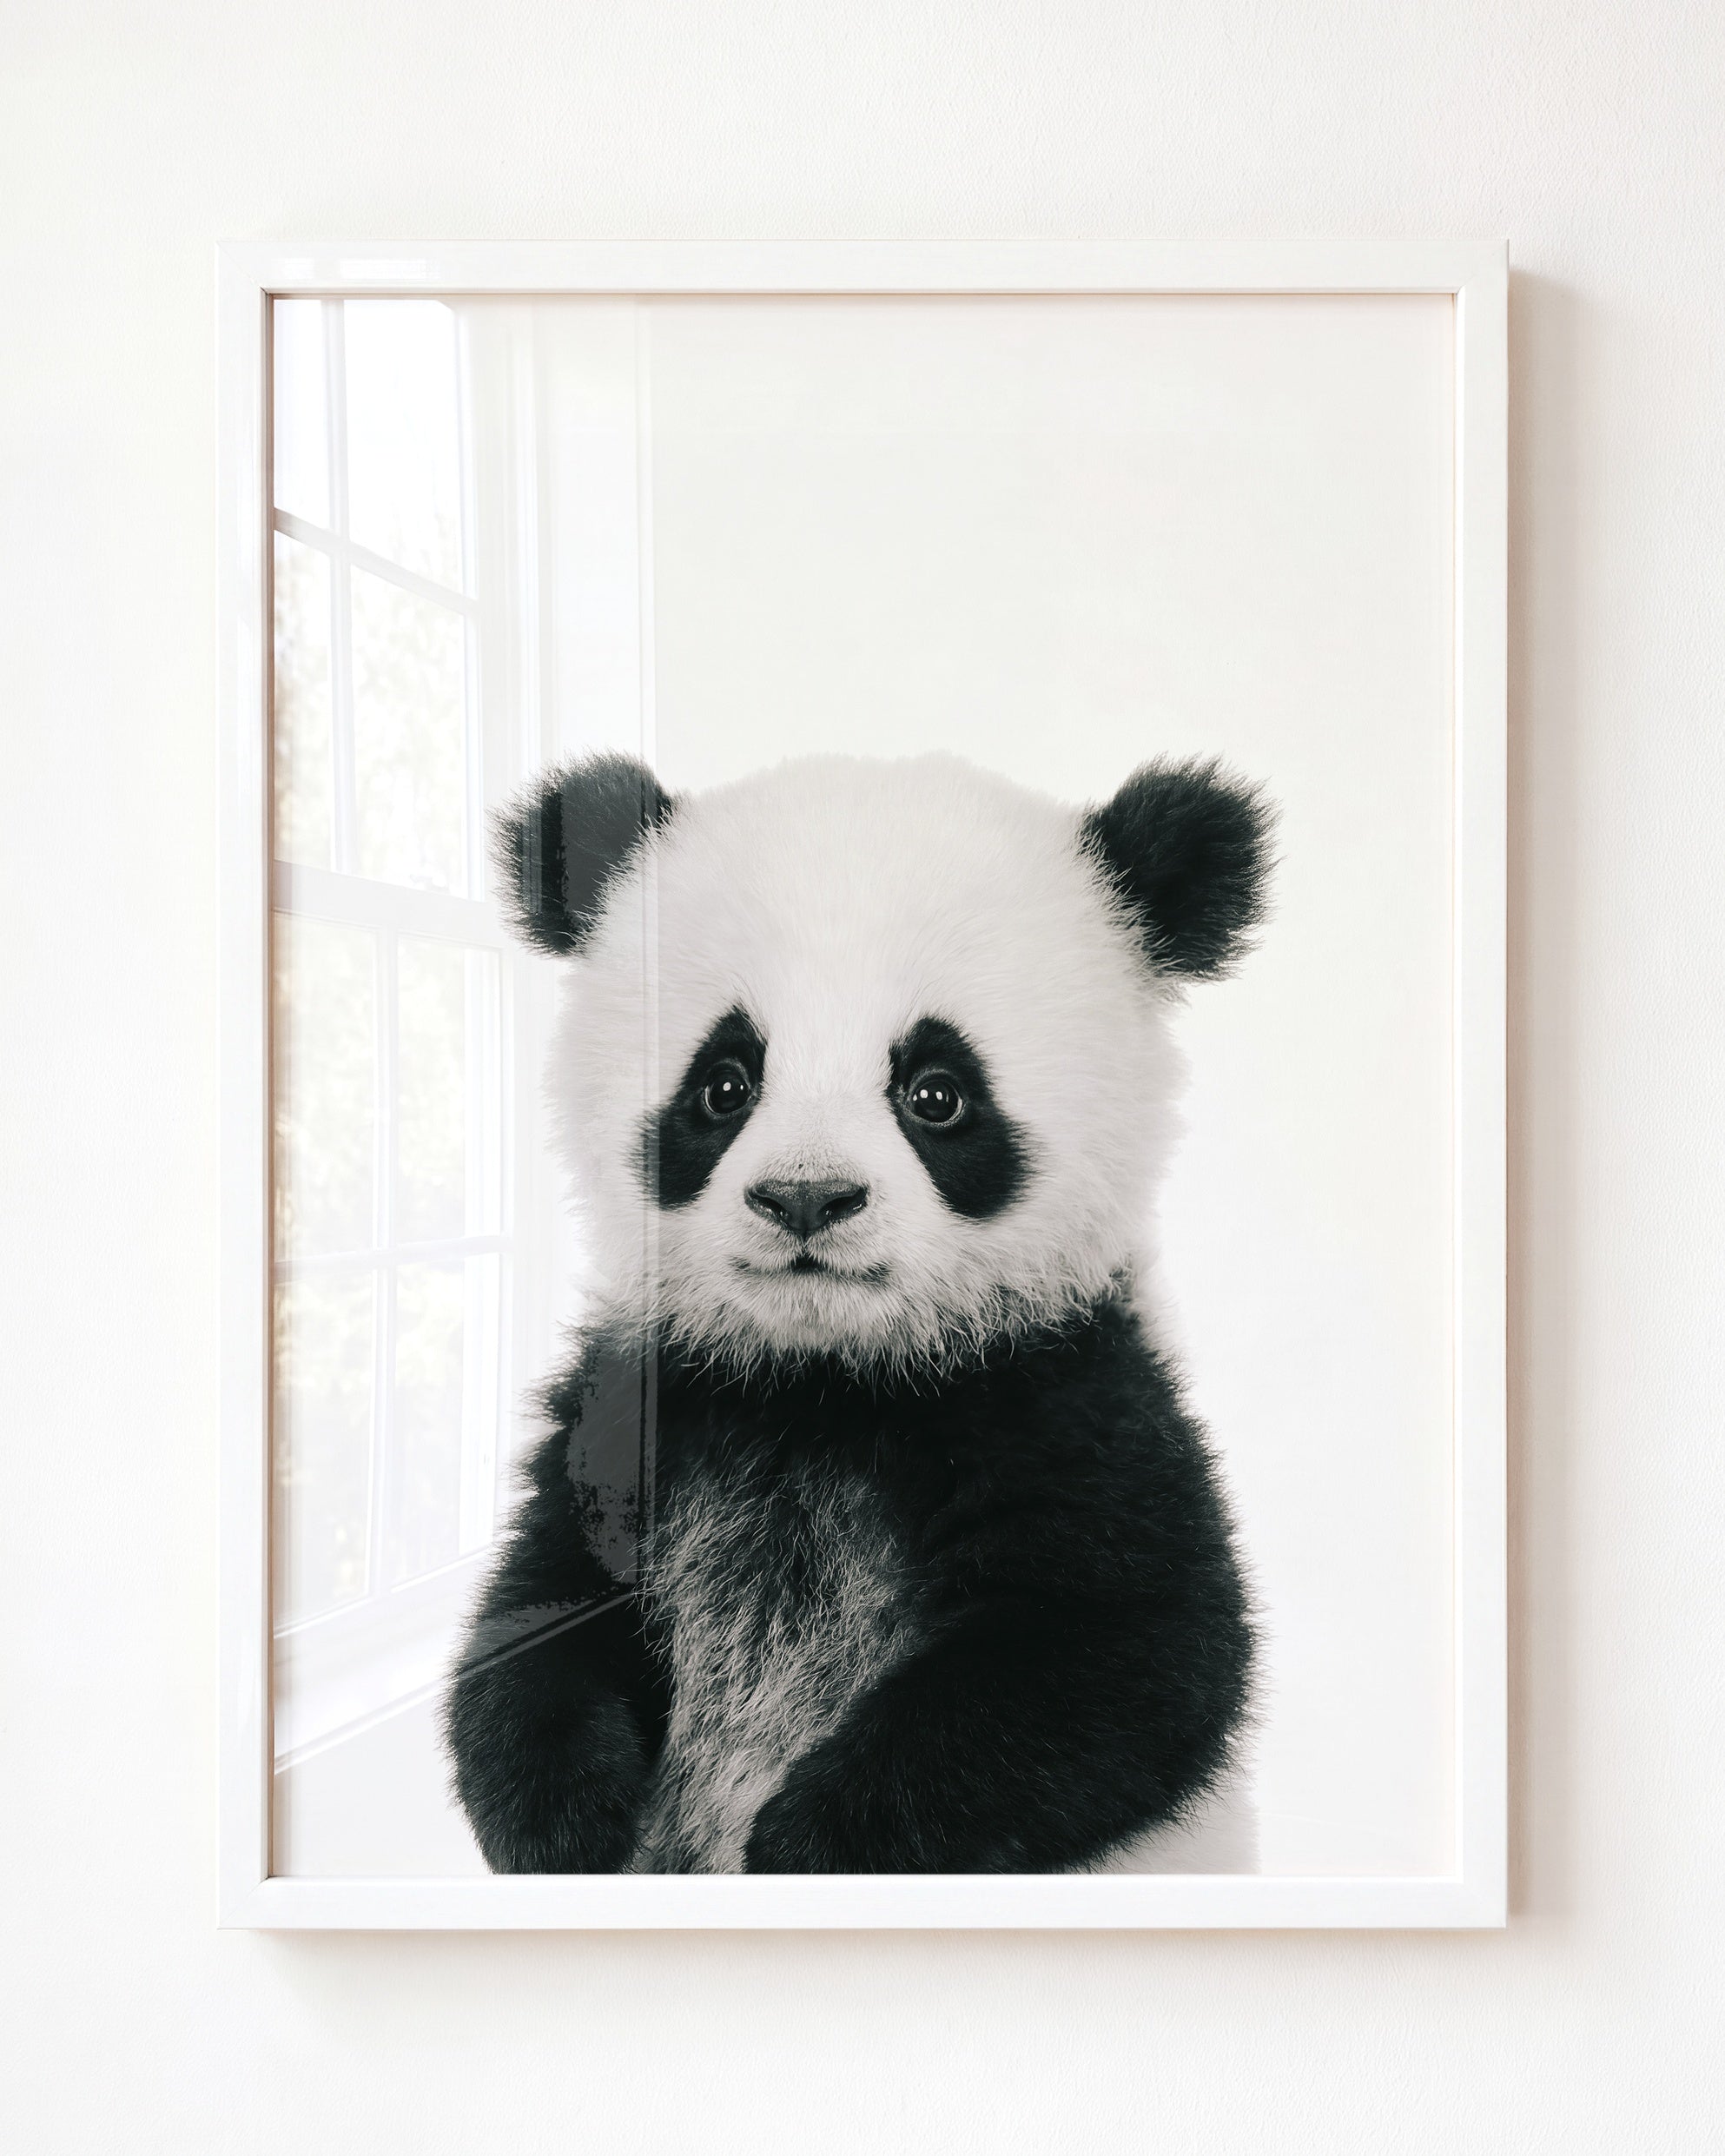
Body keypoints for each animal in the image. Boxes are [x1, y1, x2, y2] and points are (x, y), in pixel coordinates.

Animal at [444, 749, 1272, 1874]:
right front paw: (566, 1820)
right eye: (724, 1083)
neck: (825, 1379)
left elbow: (1128, 1655)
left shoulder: (1069, 1397)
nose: (806, 1197)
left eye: (936, 1092)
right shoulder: (644, 1405)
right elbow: (536, 1613)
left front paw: (807, 1844)